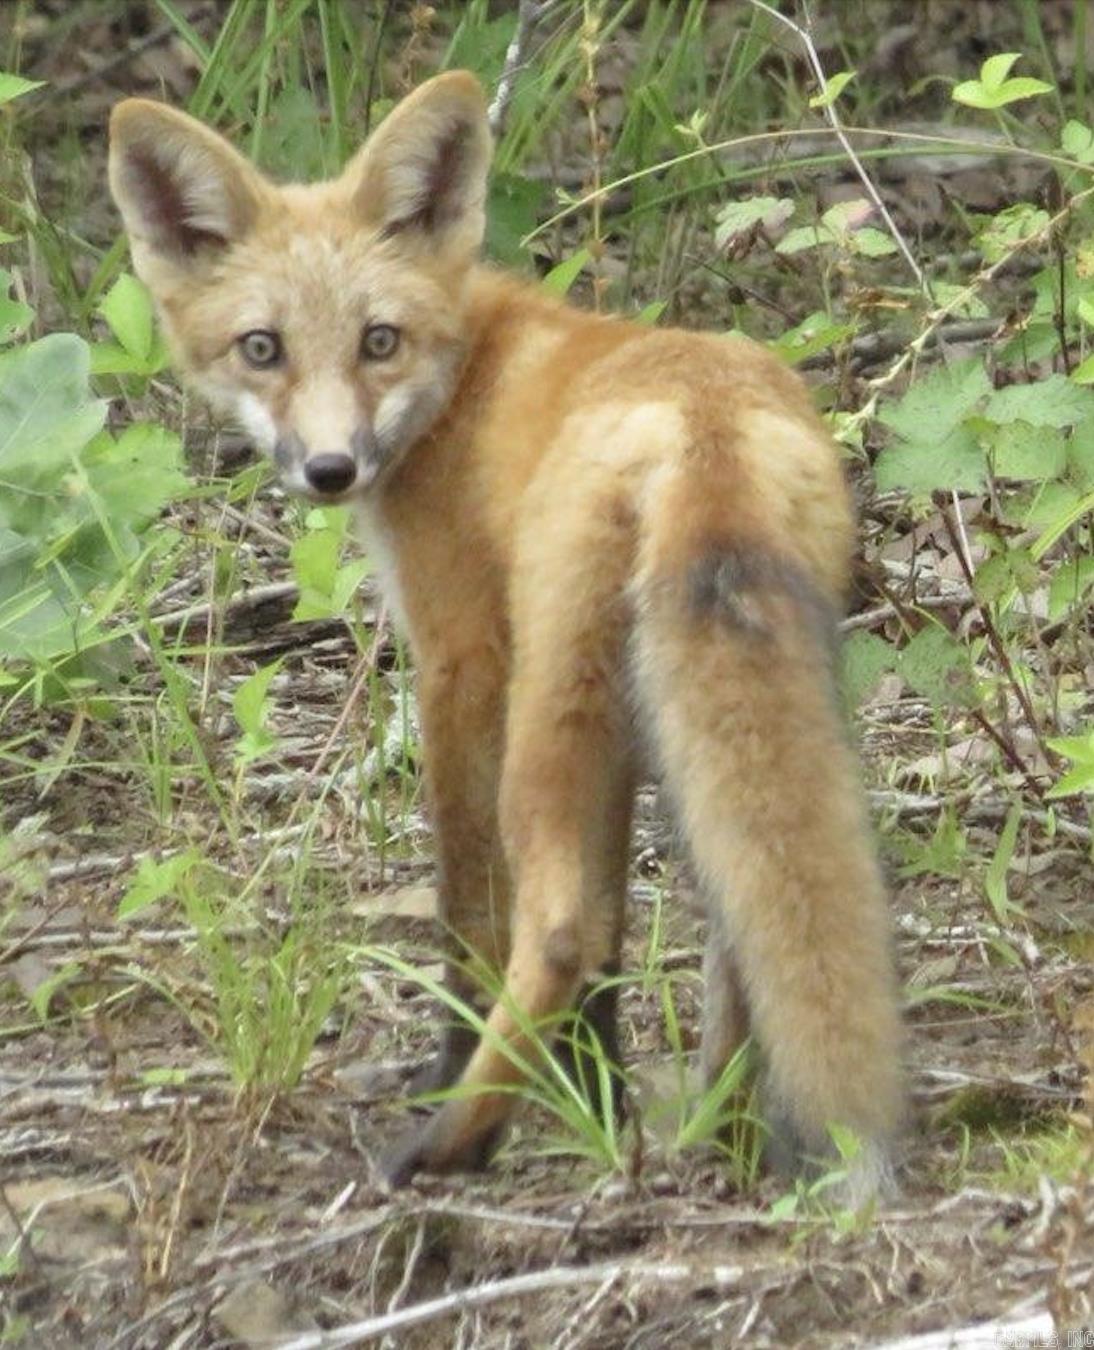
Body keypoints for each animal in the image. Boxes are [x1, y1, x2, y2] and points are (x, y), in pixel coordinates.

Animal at [106, 68, 896, 1198]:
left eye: (377, 340)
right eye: (263, 349)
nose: (331, 469)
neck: (462, 381)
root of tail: (701, 424)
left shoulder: (460, 656)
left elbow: (471, 908)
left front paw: (465, 1076)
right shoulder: (614, 732)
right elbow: (614, 932)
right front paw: (599, 1104)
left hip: (549, 710)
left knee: (555, 924)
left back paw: (451, 1143)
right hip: (710, 698)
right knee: (736, 919)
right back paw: (729, 1132)